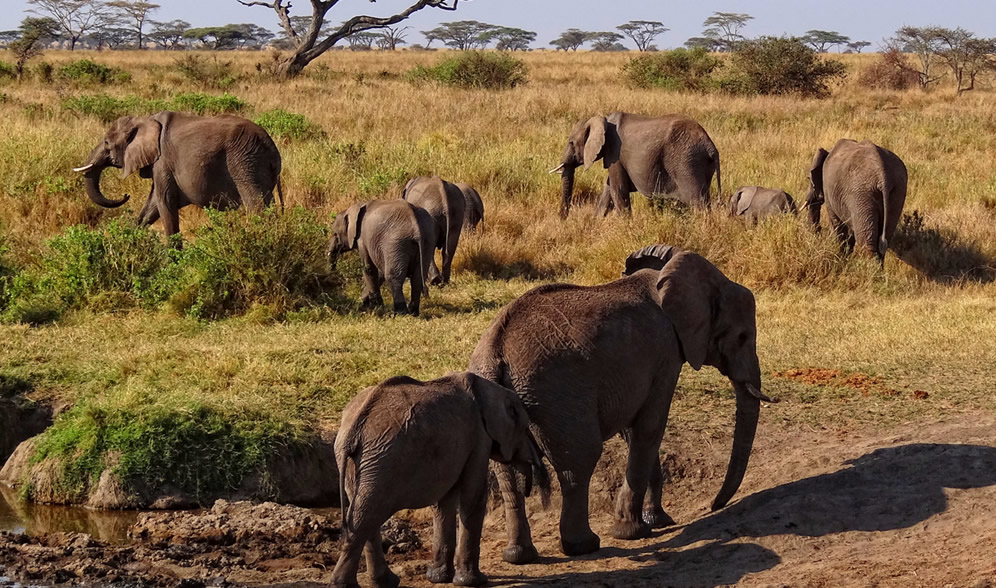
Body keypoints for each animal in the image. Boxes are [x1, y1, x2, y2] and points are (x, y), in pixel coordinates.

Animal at [72, 112, 282, 237]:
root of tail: (273, 150)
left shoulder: (162, 162)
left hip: (245, 163)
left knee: (257, 205)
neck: (145, 119)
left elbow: (164, 202)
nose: (125, 195)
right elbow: (152, 206)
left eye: (107, 143)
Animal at [334, 372, 552, 588]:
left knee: (364, 516)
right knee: (365, 517)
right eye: (525, 428)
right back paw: (347, 585)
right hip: (383, 460)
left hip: (364, 462)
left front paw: (439, 578)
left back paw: (384, 582)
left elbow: (443, 503)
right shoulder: (479, 437)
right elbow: (473, 496)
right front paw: (473, 582)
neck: (492, 389)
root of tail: (353, 431)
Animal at [470, 246, 776, 564]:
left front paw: (657, 520)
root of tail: (495, 353)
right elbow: (650, 427)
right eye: (742, 336)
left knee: (508, 474)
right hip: (557, 396)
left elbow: (634, 431)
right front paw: (633, 531)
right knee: (578, 460)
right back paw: (584, 545)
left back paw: (519, 556)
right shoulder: (666, 353)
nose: (715, 506)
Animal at [552, 112, 724, 218]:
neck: (603, 120)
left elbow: (618, 190)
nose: (563, 219)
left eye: (571, 142)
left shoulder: (615, 153)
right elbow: (608, 191)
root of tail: (710, 146)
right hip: (700, 164)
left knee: (697, 202)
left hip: (687, 162)